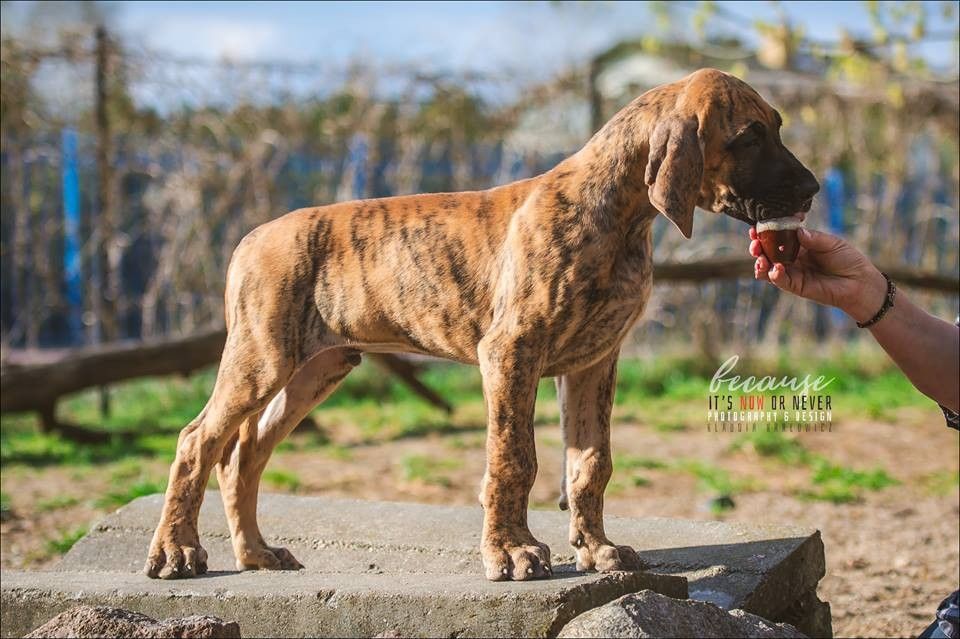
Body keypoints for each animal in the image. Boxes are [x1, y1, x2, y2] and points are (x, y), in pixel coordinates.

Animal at [145, 68, 819, 582]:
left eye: (777, 126)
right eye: (750, 135)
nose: (813, 188)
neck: (621, 214)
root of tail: (252, 235)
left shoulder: (593, 363)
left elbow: (589, 464)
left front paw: (597, 550)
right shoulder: (512, 352)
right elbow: (513, 458)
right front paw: (513, 553)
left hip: (317, 368)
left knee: (244, 454)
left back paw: (255, 553)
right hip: (262, 359)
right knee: (198, 441)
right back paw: (178, 551)